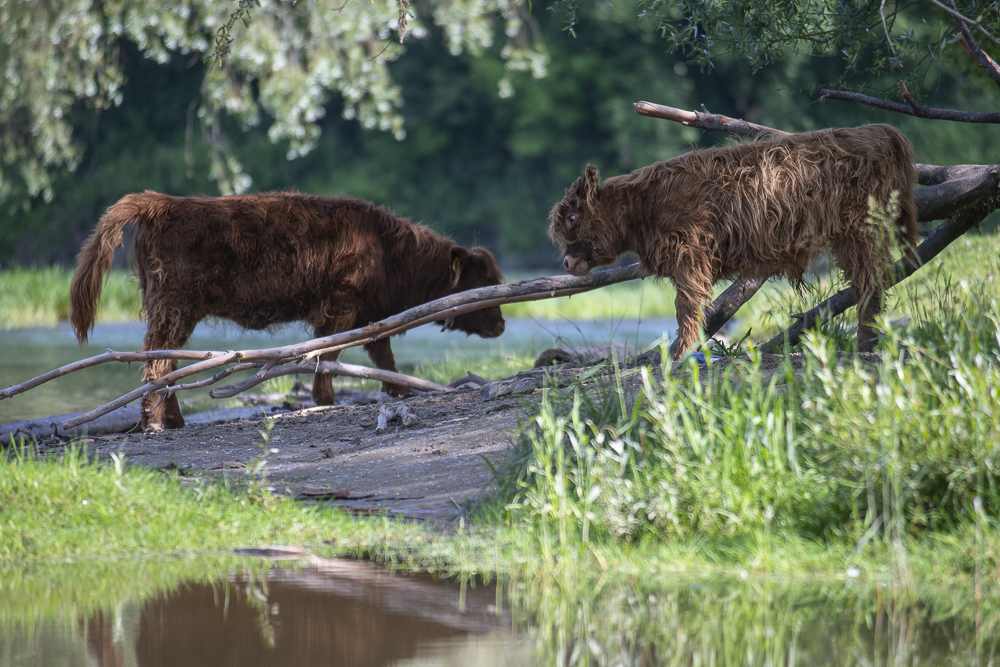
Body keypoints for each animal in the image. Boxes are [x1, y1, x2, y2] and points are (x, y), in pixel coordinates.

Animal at [72, 190, 508, 430]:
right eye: (483, 281)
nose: (502, 324)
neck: (390, 253)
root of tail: (161, 203)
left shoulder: (367, 315)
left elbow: (381, 354)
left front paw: (397, 390)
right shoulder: (339, 307)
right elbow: (329, 352)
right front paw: (325, 399)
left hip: (170, 309)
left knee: (167, 362)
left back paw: (175, 421)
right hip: (174, 307)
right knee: (157, 363)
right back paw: (157, 424)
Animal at [552, 123, 916, 358]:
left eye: (573, 218)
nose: (567, 261)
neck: (641, 207)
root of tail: (875, 130)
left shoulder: (690, 254)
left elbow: (687, 305)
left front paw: (681, 350)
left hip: (861, 230)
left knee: (870, 281)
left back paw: (866, 343)